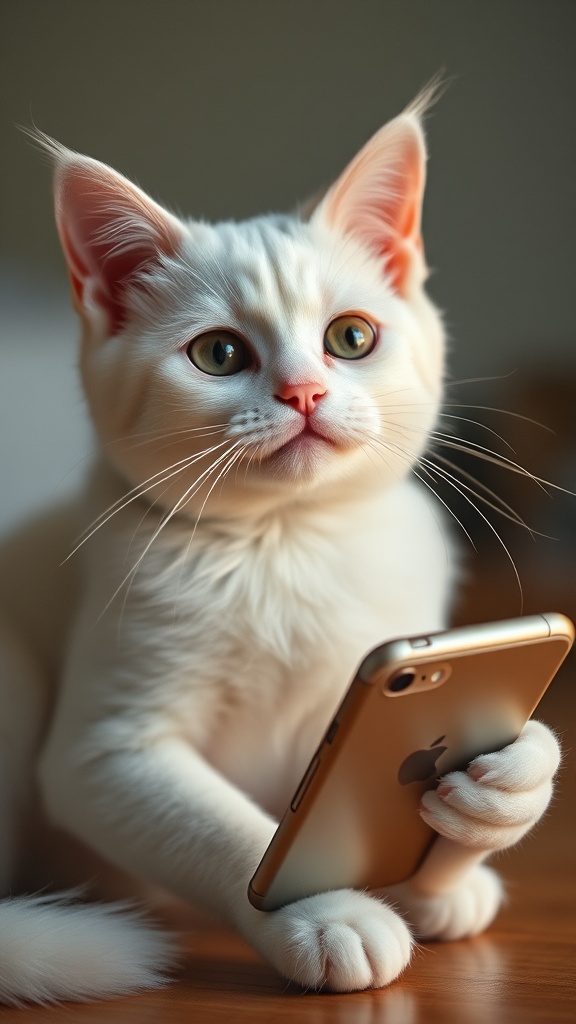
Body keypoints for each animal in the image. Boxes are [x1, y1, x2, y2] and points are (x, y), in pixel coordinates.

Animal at [0, 92, 557, 1003]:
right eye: (219, 353)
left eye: (352, 337)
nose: (305, 393)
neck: (288, 543)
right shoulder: (104, 752)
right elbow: (228, 831)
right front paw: (321, 914)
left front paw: (492, 808)